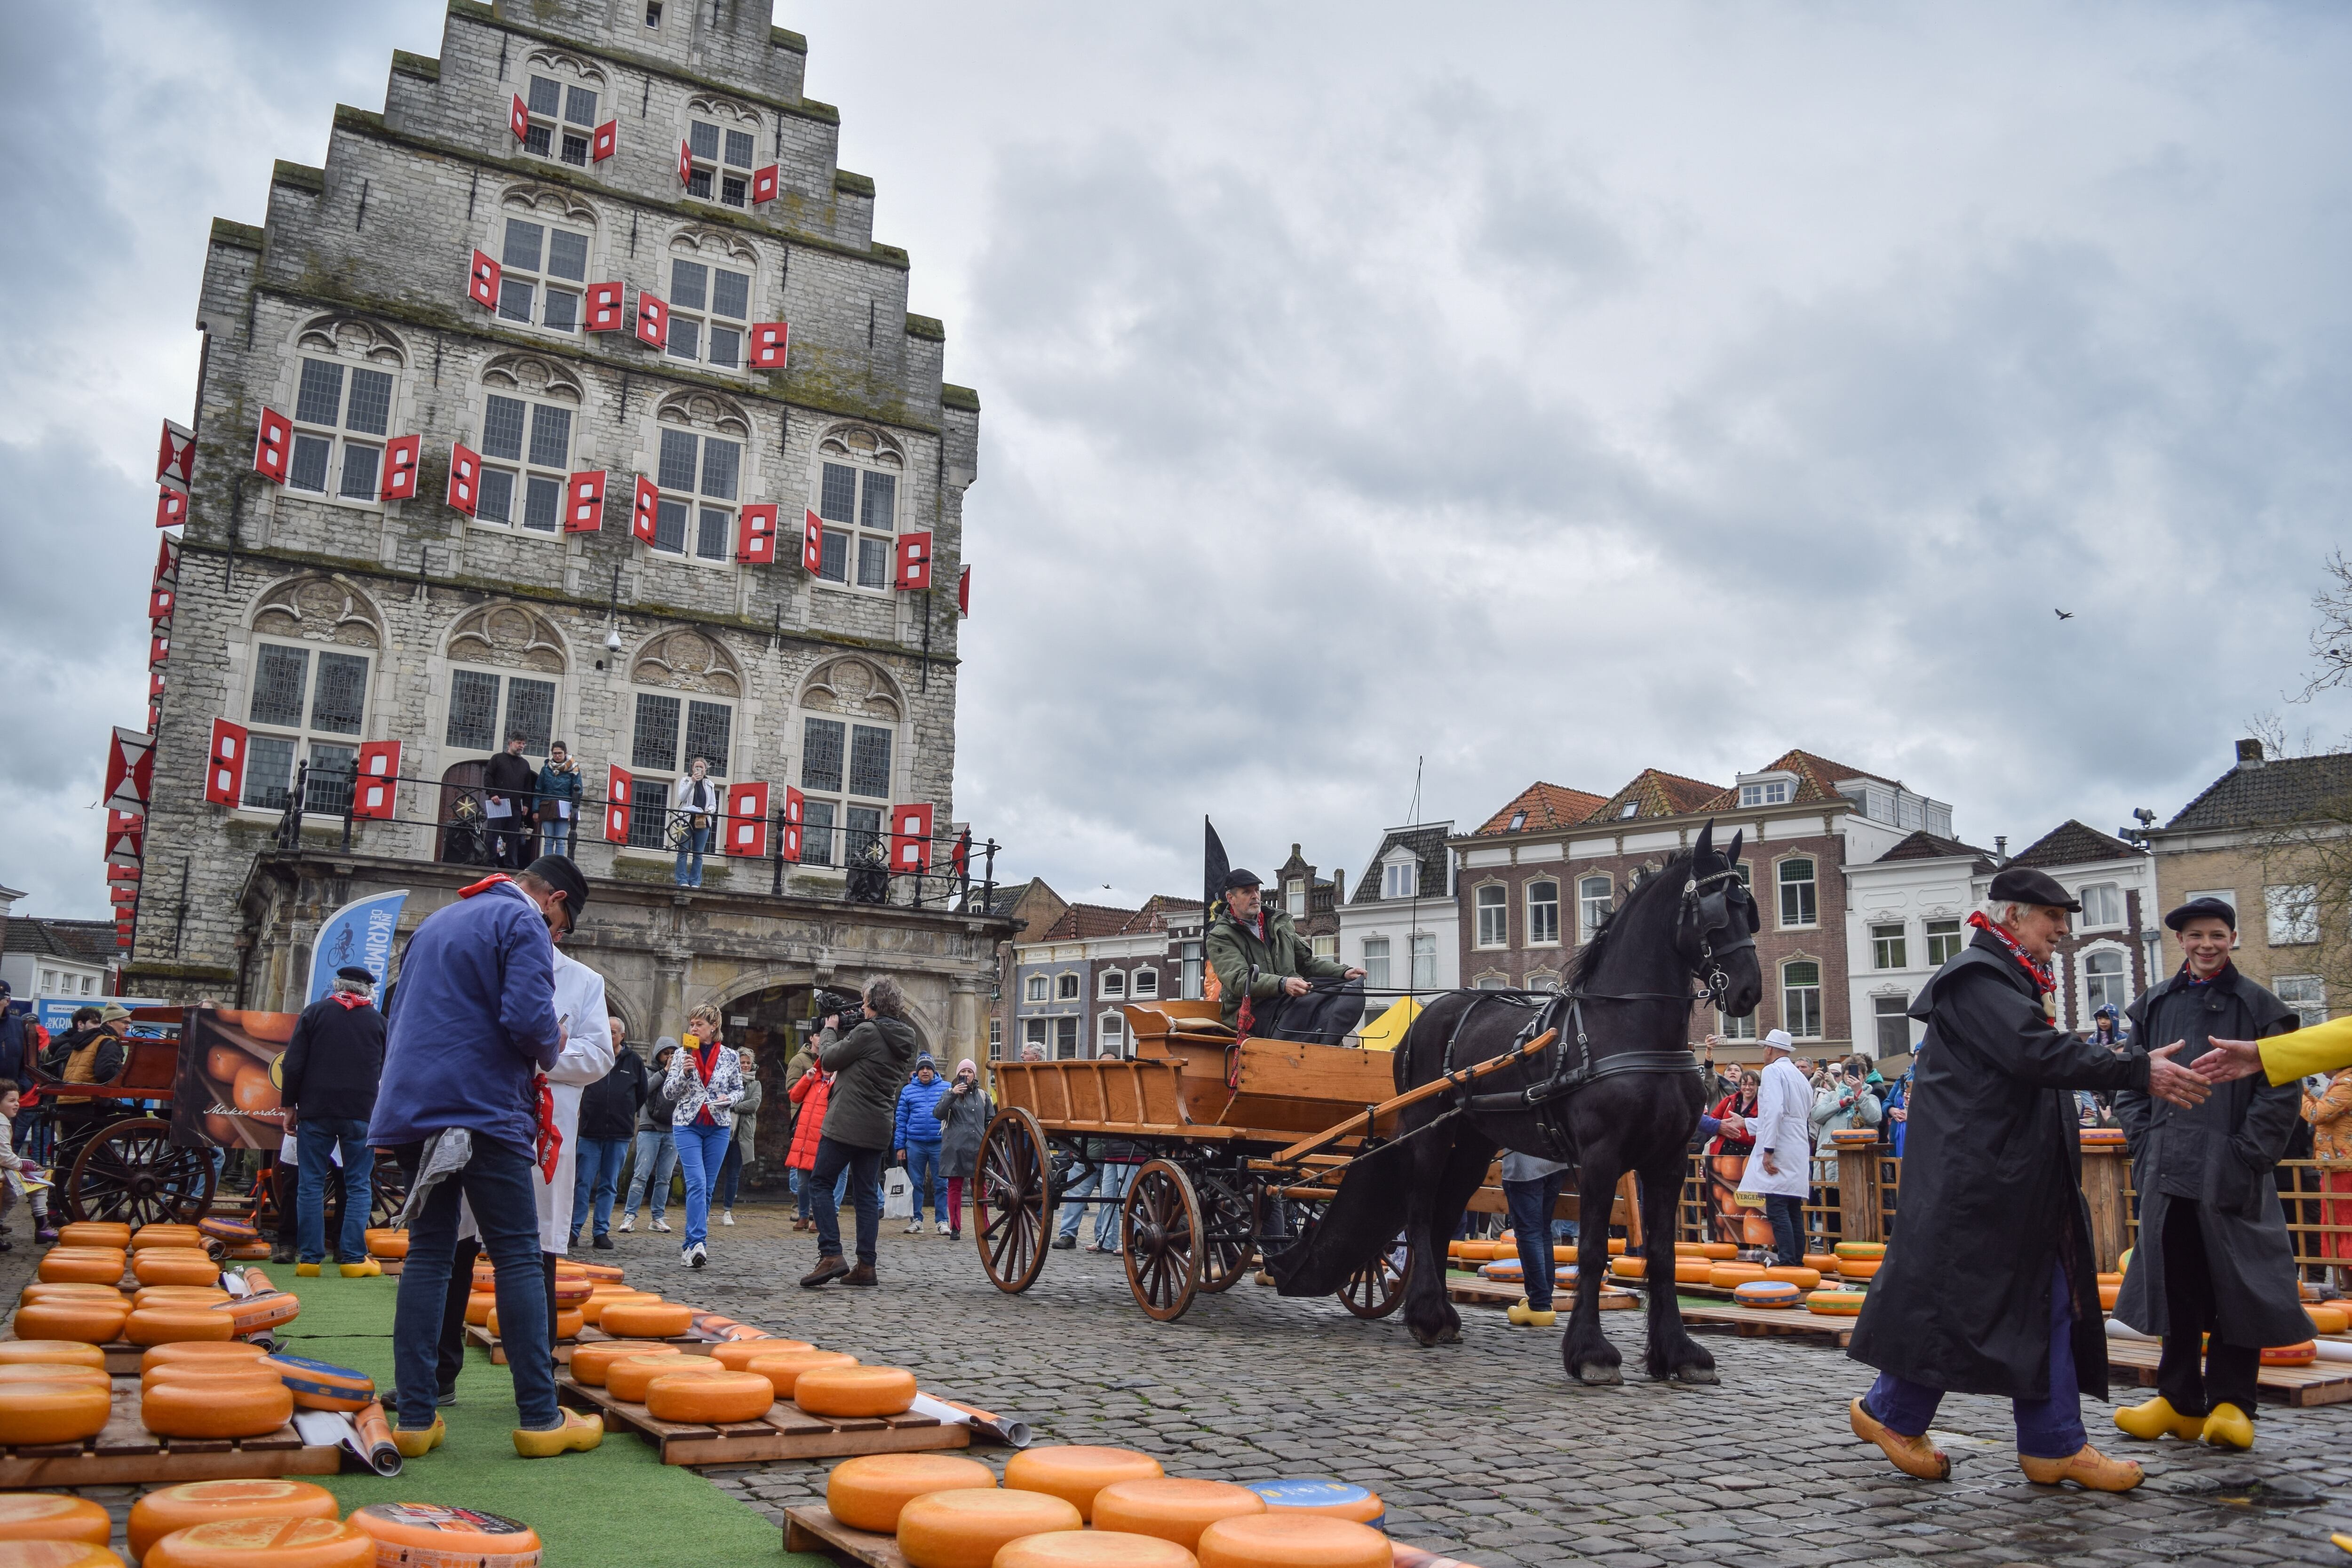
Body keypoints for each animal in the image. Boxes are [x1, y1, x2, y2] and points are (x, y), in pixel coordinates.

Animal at [1270, 822, 1769, 1382]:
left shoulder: (1666, 1161)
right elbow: (1591, 1250)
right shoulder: (1600, 1157)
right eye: (1714, 909)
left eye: (1748, 907)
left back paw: (1439, 1314)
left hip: (1472, 1142)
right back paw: (1425, 1316)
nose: (1748, 990)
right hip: (1429, 1131)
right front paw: (1591, 1353)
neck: (1629, 1029)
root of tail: (1422, 1019)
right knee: (1420, 1210)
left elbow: (1662, 1256)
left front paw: (1679, 1352)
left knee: (1443, 1215)